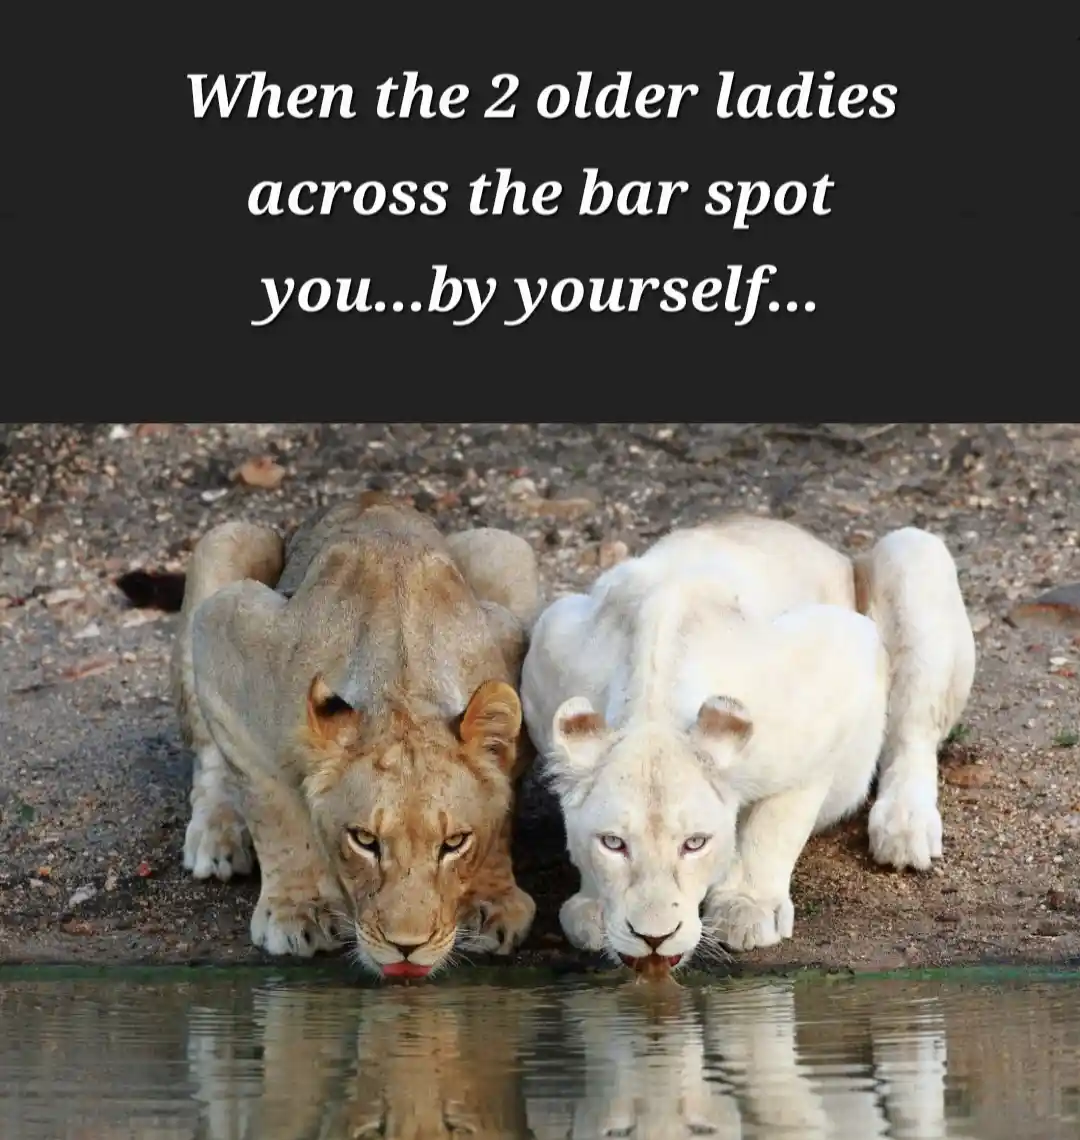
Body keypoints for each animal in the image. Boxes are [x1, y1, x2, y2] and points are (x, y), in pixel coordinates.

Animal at [171, 494, 543, 975]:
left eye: (454, 843)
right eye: (364, 841)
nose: (407, 947)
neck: (403, 684)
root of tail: (369, 496)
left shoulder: (513, 649)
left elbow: (501, 807)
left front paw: (490, 900)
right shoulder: (227, 630)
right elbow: (272, 806)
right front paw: (300, 908)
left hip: (504, 546)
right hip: (228, 539)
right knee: (209, 756)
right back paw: (216, 836)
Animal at [520, 515, 976, 969]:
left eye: (695, 843)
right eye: (613, 843)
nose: (654, 938)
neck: (653, 698)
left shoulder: (841, 657)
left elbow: (777, 821)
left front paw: (747, 908)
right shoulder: (549, 643)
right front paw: (593, 908)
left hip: (913, 552)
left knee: (913, 731)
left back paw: (905, 829)